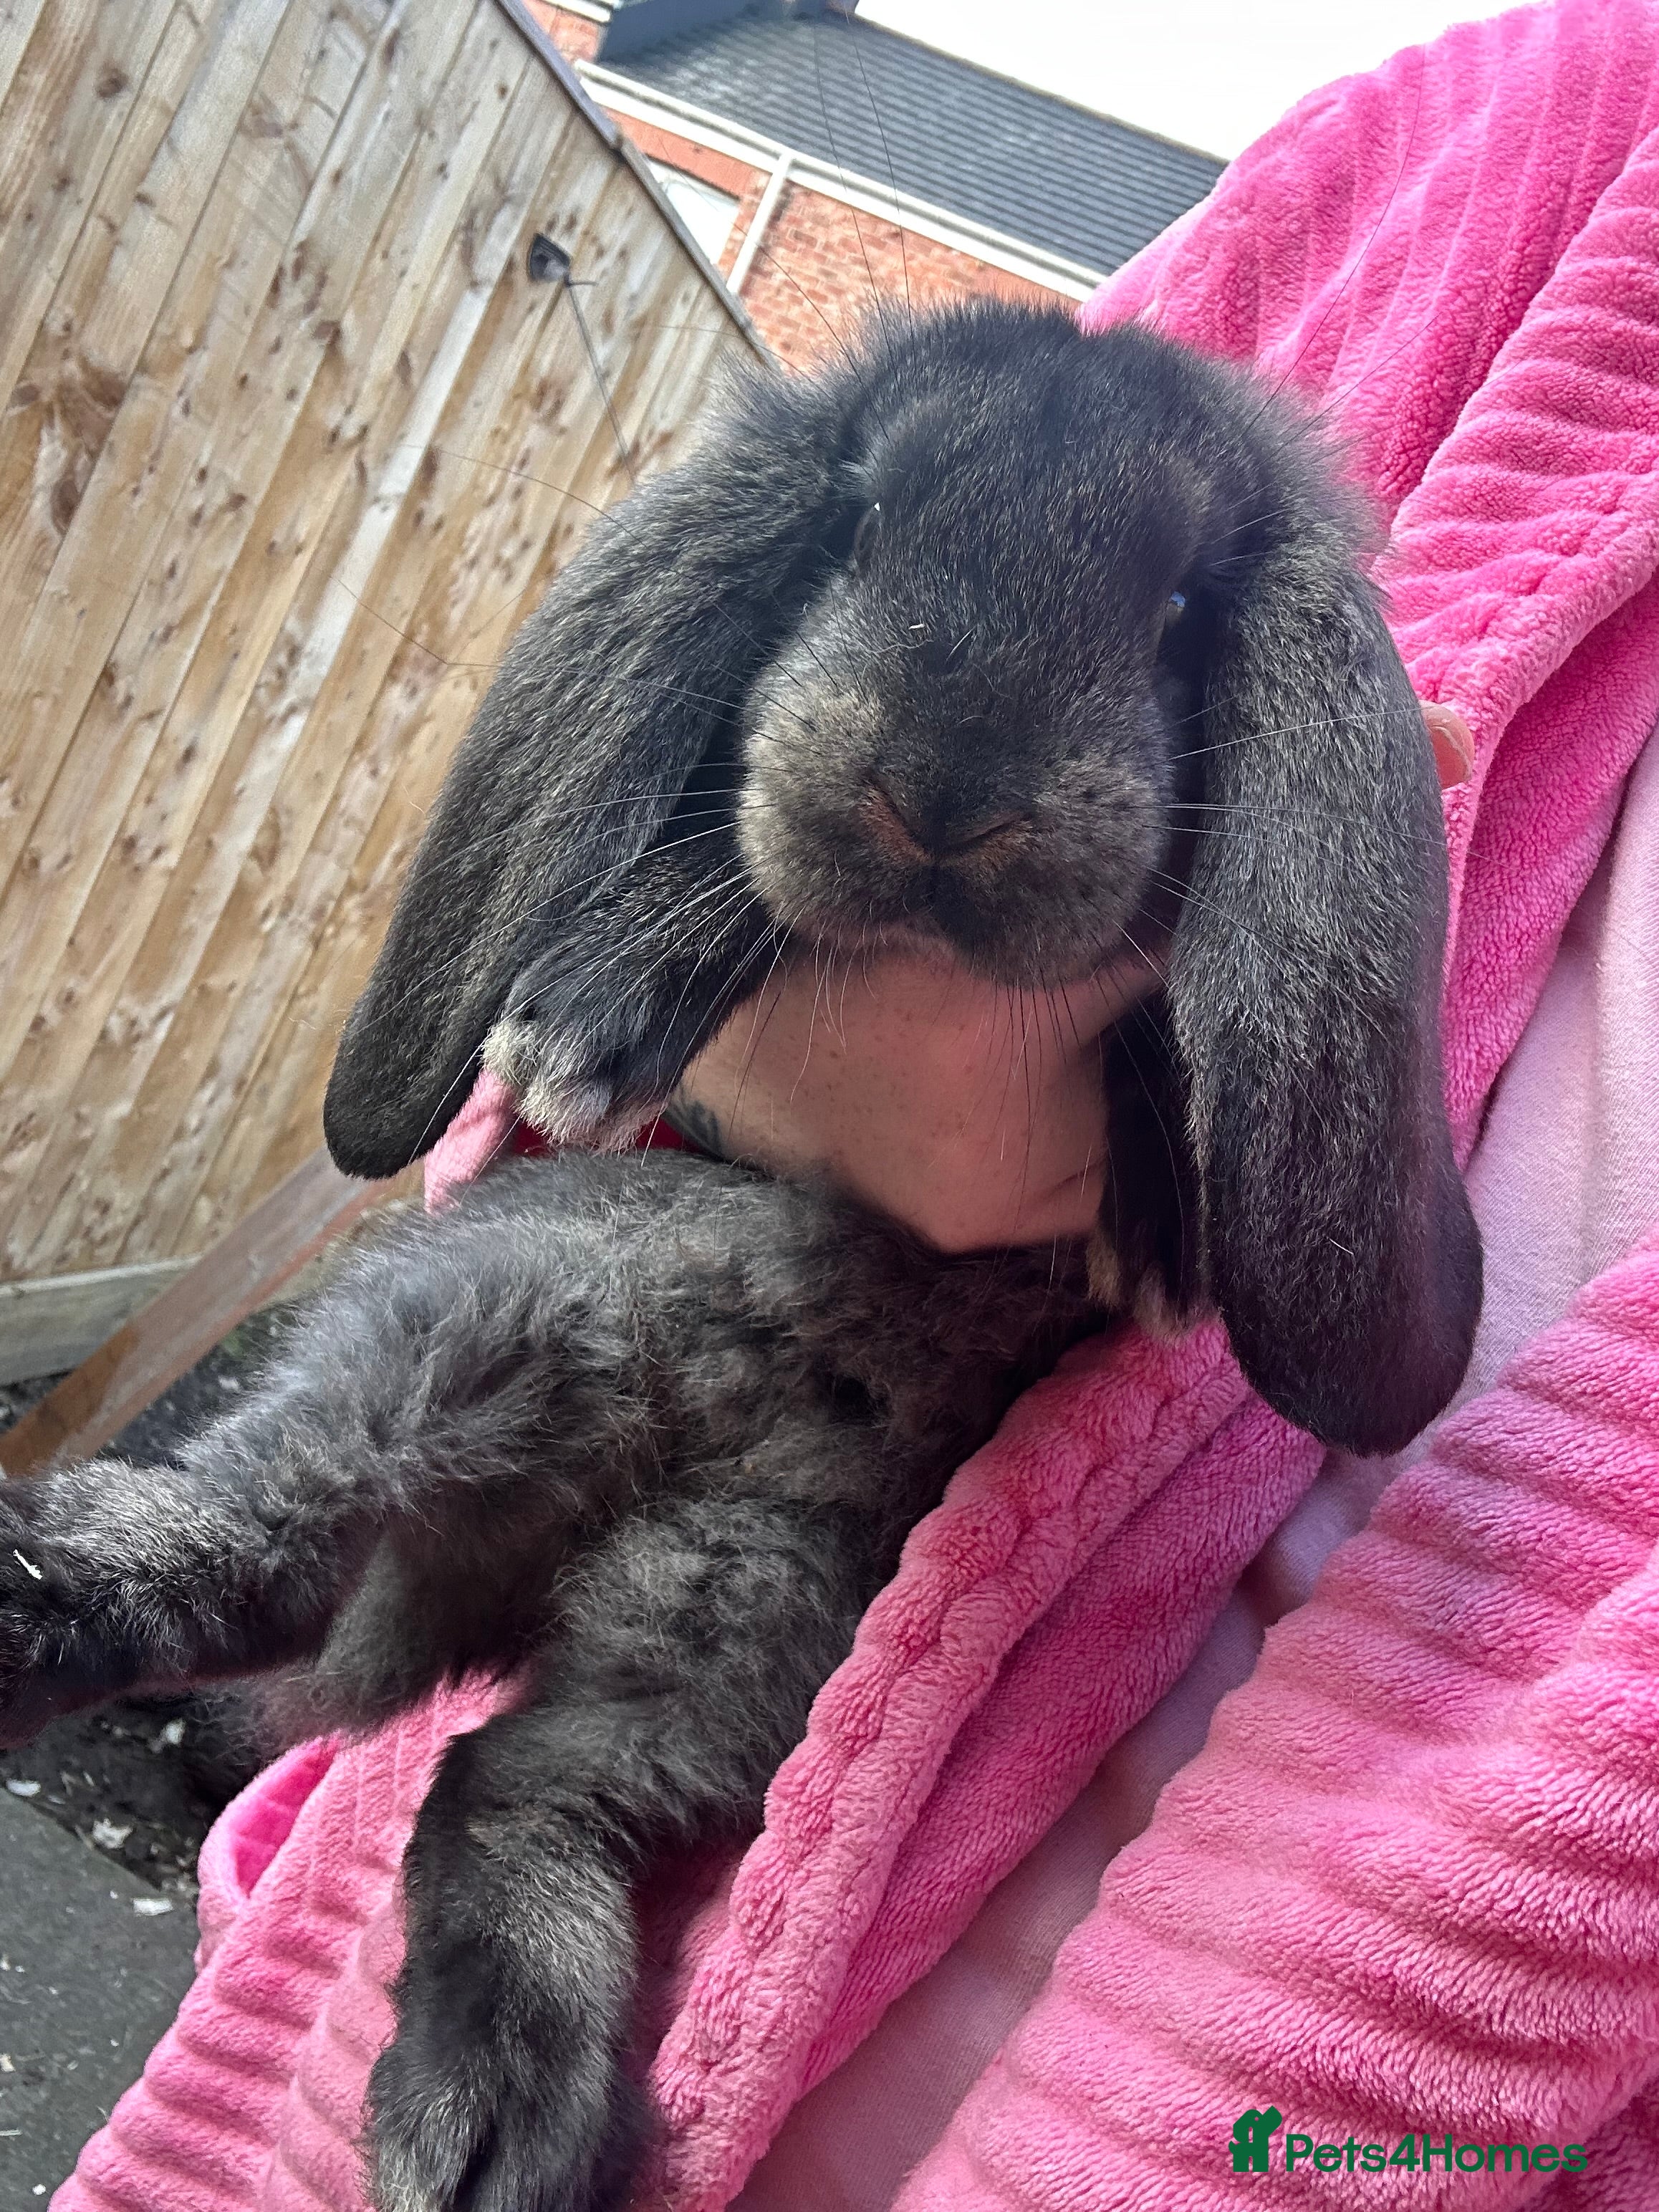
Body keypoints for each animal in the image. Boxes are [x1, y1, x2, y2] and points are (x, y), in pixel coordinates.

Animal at [0, 301, 1480, 2212]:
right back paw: (35, 1617)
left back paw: (492, 2120)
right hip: (481, 1326)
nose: (944, 795)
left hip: (747, 1616)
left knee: (498, 1777)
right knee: (235, 1537)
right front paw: (595, 1014)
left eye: (1172, 607)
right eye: (857, 519)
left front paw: (1161, 1206)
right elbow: (721, 871)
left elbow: (1150, 1019)